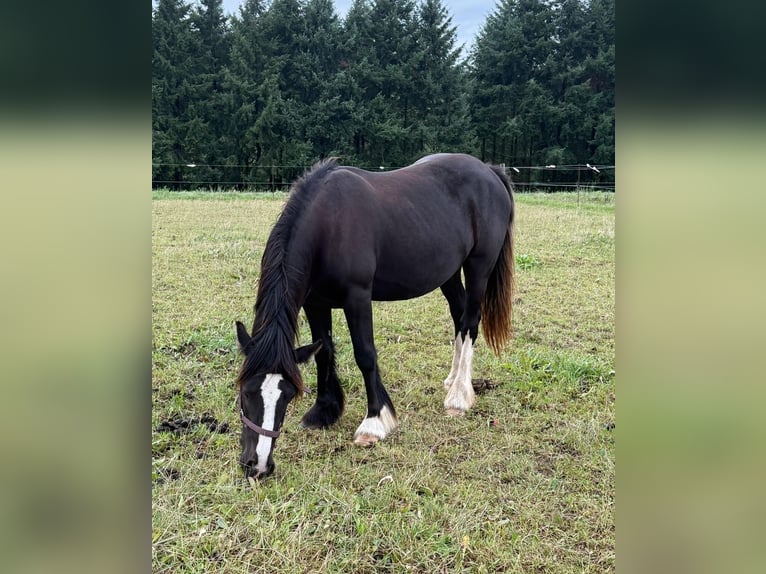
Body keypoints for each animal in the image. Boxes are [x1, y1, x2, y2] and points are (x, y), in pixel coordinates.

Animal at [235, 153, 515, 479]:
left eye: (287, 394)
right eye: (245, 392)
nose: (257, 465)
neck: (328, 224)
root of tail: (490, 171)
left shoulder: (357, 298)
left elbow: (365, 355)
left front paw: (375, 422)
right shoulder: (315, 302)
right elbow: (323, 352)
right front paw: (324, 411)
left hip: (479, 267)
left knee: (470, 322)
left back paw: (458, 397)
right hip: (448, 272)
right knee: (459, 318)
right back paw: (453, 379)